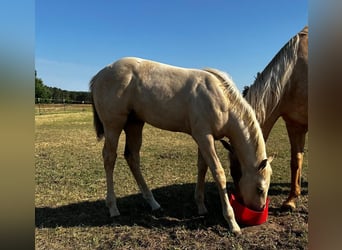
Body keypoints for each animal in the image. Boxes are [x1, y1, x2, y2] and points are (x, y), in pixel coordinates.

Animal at [90, 56, 272, 232]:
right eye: (260, 189)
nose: (259, 209)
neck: (222, 100)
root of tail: (99, 75)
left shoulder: (203, 138)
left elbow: (202, 167)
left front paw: (201, 206)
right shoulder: (204, 137)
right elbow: (218, 173)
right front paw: (232, 223)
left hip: (134, 124)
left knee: (132, 157)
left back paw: (153, 203)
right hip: (113, 126)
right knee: (109, 158)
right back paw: (113, 207)